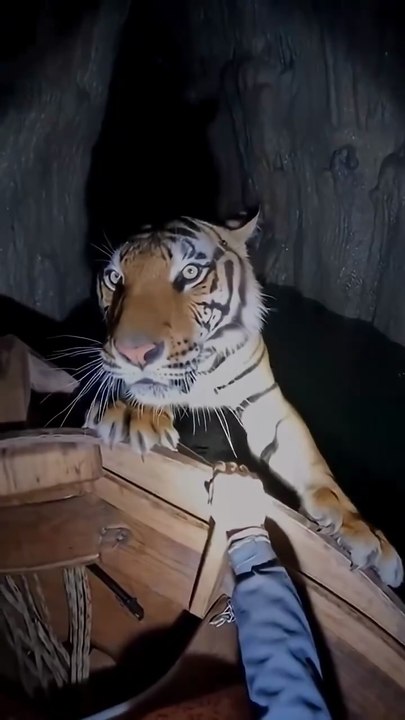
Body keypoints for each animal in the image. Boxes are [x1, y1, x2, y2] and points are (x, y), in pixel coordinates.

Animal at [85, 212, 403, 588]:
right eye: (115, 277)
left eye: (189, 273)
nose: (134, 353)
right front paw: (136, 417)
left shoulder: (266, 406)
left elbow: (315, 467)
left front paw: (364, 533)